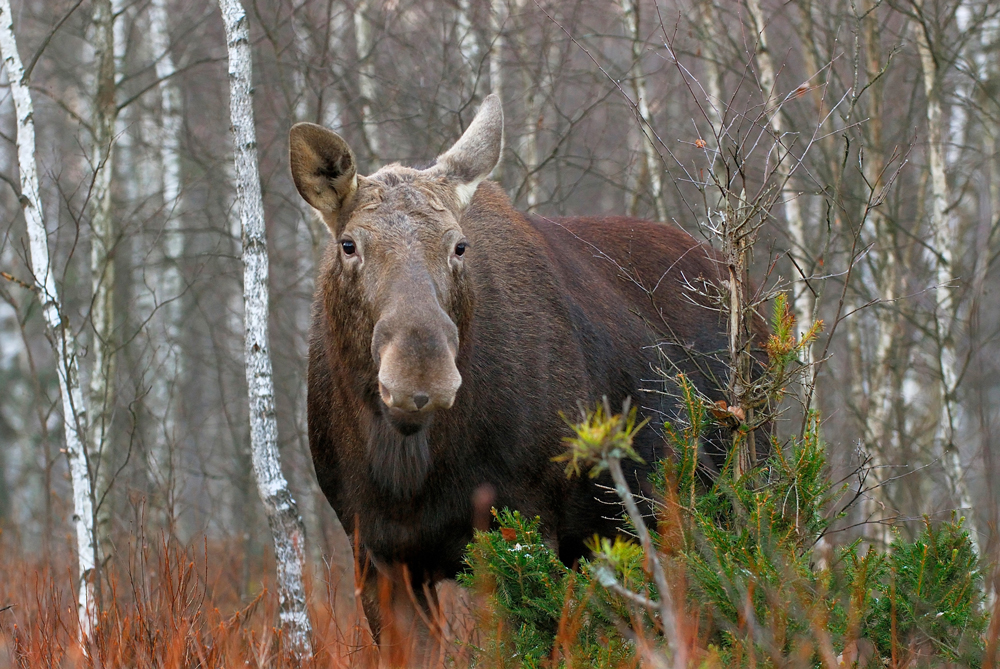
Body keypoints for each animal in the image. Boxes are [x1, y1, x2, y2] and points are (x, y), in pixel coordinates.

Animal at [290, 96, 736, 656]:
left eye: (459, 246)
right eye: (348, 245)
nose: (421, 374)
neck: (410, 473)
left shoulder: (524, 527)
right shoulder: (380, 557)